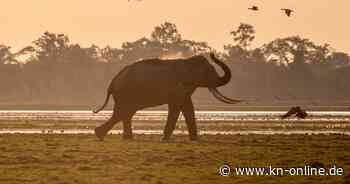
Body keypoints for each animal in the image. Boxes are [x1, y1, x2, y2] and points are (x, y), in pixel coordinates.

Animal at [93, 52, 241, 141]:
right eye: (209, 72)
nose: (212, 54)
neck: (187, 61)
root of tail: (112, 82)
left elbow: (187, 107)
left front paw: (194, 139)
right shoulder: (177, 87)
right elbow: (176, 107)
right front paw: (165, 139)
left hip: (127, 94)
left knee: (125, 113)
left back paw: (121, 137)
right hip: (126, 93)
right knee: (123, 112)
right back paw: (100, 135)